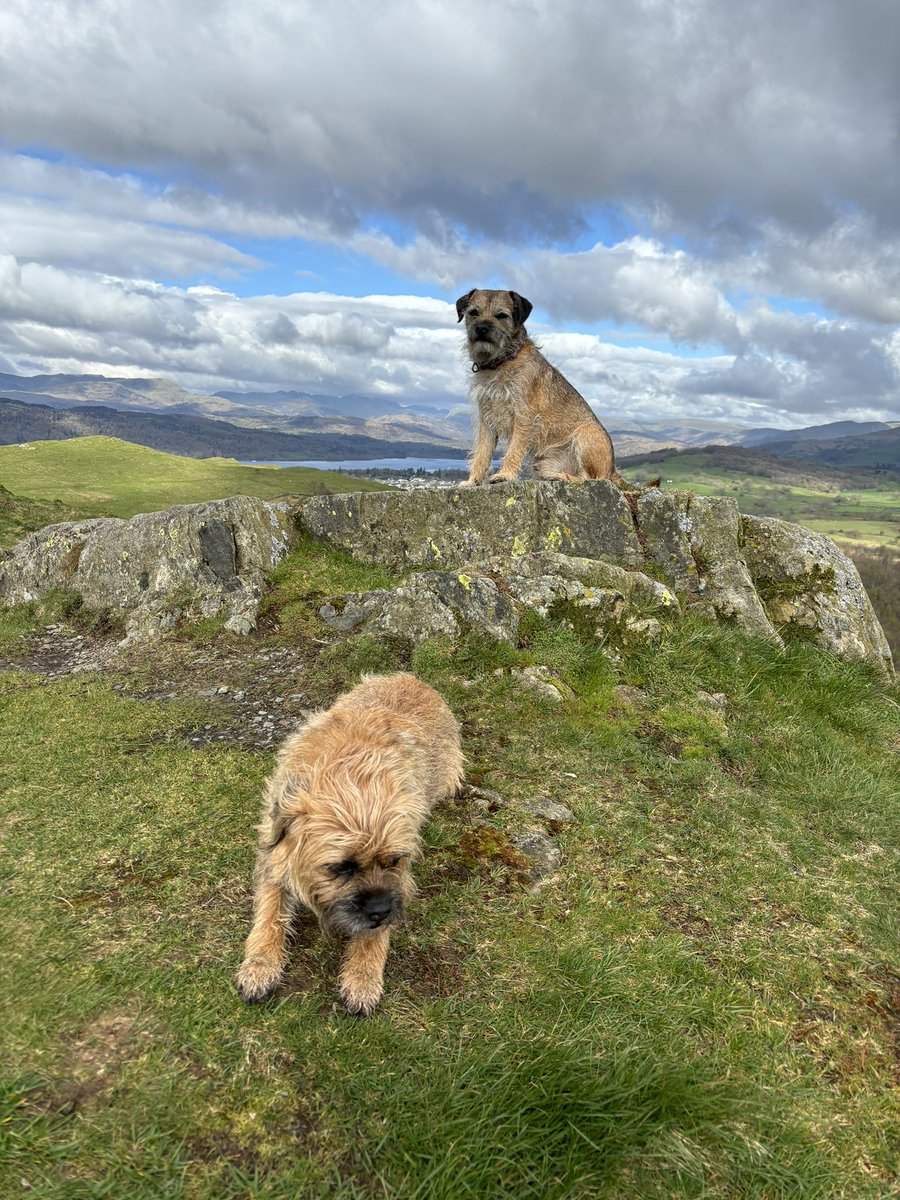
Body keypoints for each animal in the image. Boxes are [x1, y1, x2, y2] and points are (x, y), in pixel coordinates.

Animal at [237, 672, 465, 1017]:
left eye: (393, 861)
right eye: (341, 868)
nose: (381, 911)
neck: (352, 778)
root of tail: (414, 678)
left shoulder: (400, 877)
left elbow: (374, 934)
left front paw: (363, 976)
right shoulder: (275, 855)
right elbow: (270, 913)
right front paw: (260, 964)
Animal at [460, 286, 624, 487]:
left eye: (501, 315)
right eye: (473, 312)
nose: (481, 329)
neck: (501, 362)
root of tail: (612, 469)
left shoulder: (523, 416)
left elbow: (514, 448)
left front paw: (505, 475)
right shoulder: (486, 418)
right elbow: (482, 453)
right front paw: (473, 481)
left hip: (586, 433)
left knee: (592, 478)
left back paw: (563, 477)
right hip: (543, 462)